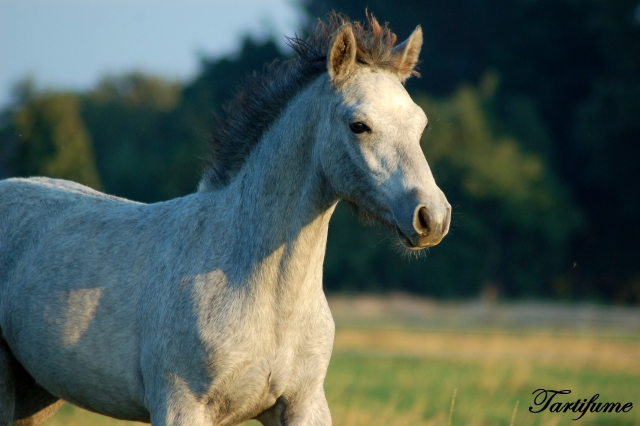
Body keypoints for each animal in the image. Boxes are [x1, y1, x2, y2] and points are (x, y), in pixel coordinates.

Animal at [0, 13, 450, 426]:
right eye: (359, 125)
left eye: (422, 124)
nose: (432, 217)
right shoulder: (181, 407)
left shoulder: (304, 404)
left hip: (38, 394)